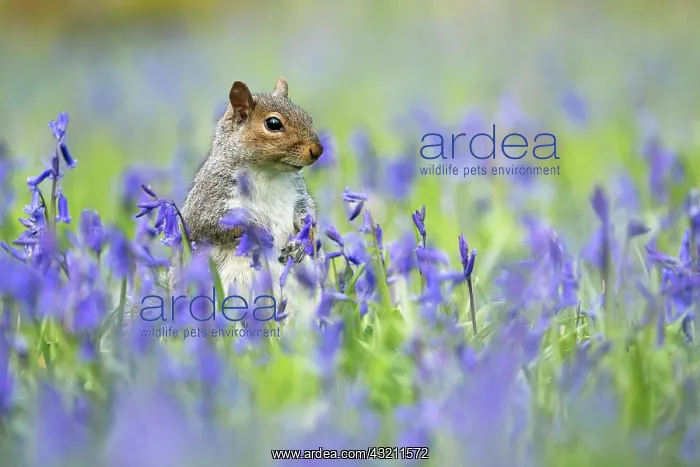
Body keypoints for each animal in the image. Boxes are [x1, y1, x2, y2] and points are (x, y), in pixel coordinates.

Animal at [170, 77, 325, 316]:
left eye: (307, 117)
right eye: (273, 124)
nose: (318, 150)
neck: (268, 172)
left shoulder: (298, 193)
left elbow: (307, 211)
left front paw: (303, 239)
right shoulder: (209, 197)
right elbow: (211, 223)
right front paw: (260, 233)